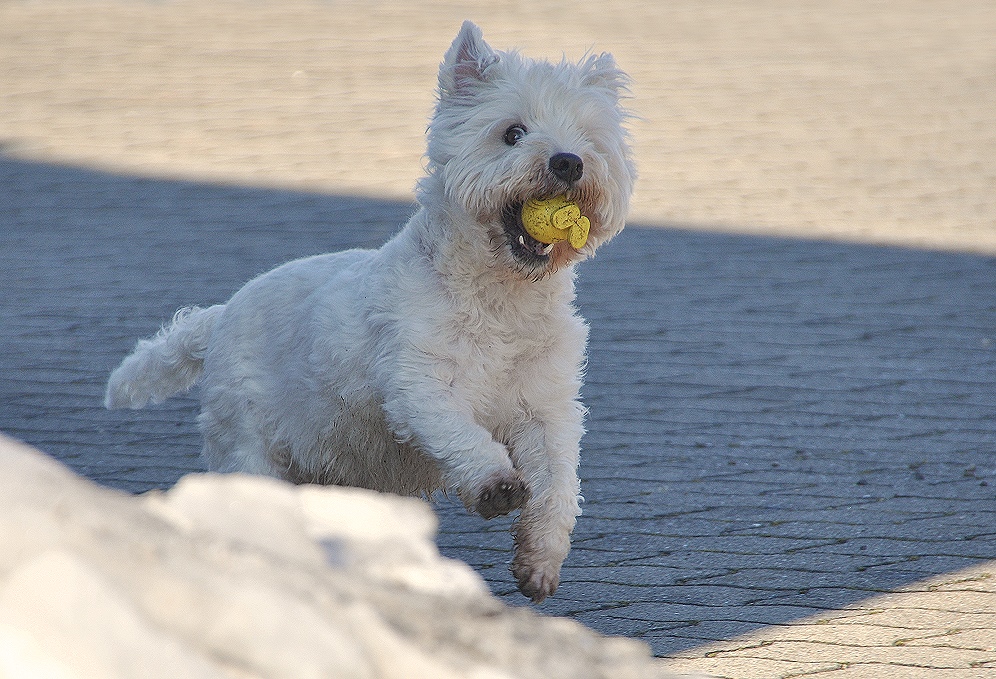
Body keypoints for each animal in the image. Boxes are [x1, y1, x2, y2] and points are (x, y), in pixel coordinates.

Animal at [105, 21, 636, 604]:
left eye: (587, 138)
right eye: (512, 132)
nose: (568, 162)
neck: (501, 300)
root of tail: (220, 316)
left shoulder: (548, 408)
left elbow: (558, 483)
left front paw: (539, 561)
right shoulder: (418, 383)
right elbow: (460, 432)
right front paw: (495, 485)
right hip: (250, 442)